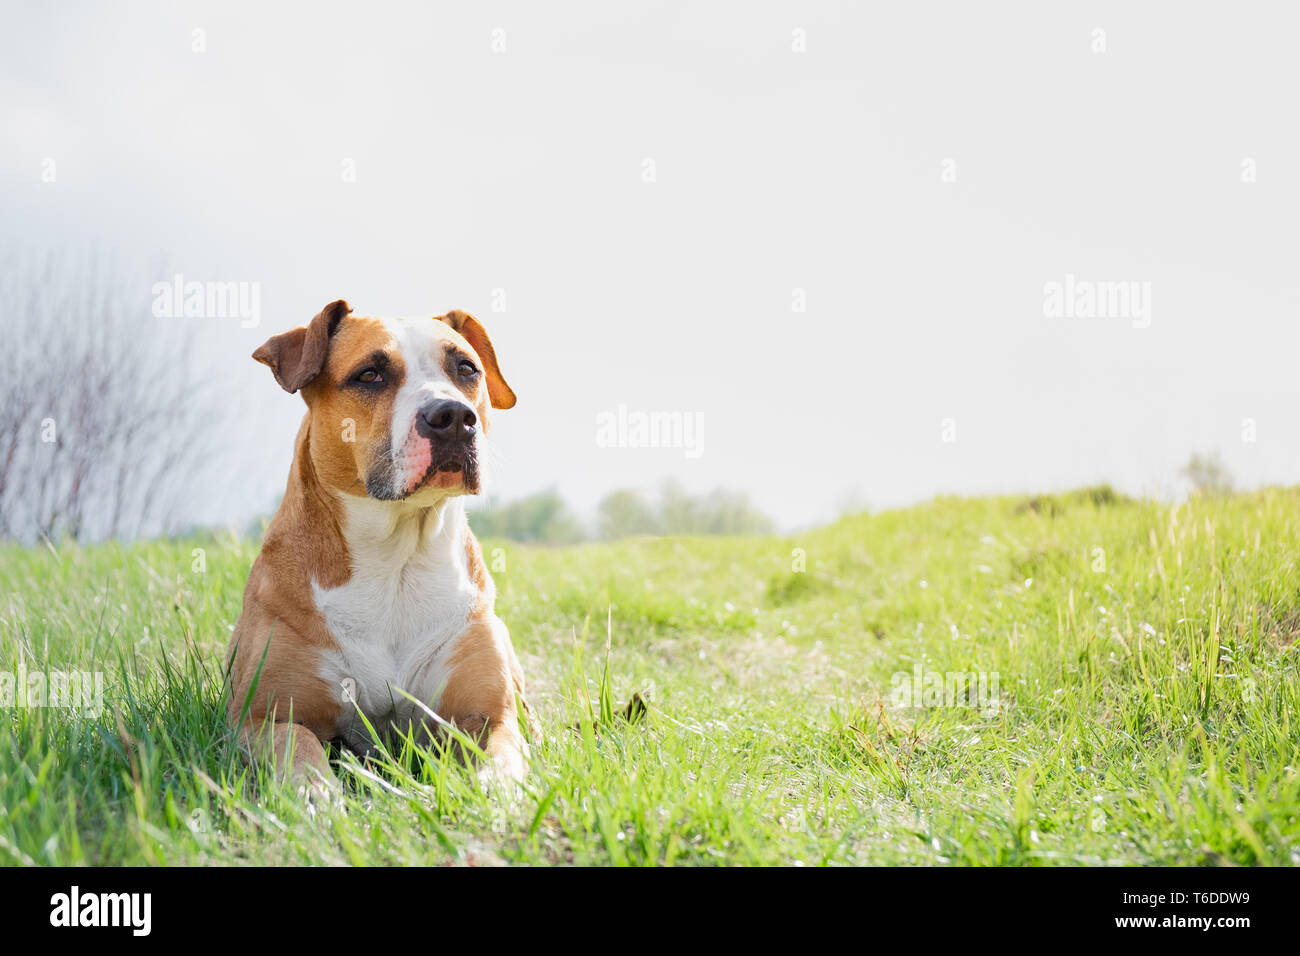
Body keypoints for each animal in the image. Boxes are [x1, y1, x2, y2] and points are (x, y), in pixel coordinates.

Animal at [227, 300, 533, 790]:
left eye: (466, 369)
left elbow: (500, 763)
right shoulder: (261, 718)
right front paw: (317, 794)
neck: (397, 556)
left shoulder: (488, 716)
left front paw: (498, 793)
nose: (453, 416)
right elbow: (298, 751)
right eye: (370, 375)